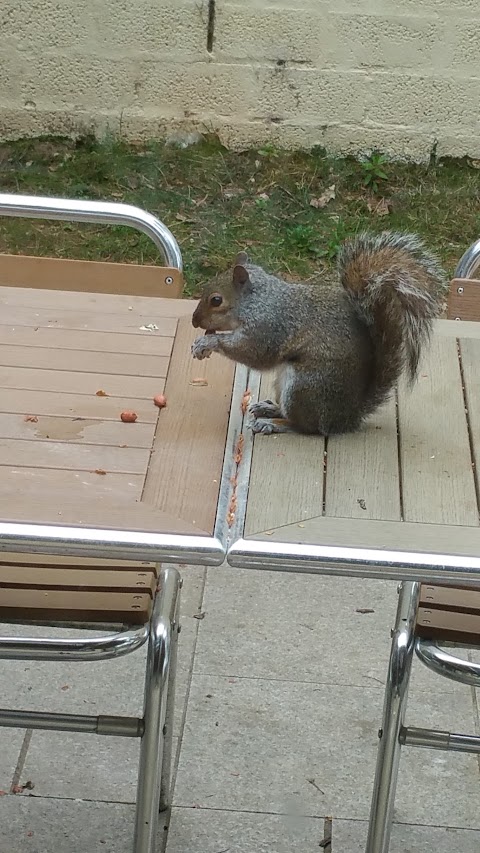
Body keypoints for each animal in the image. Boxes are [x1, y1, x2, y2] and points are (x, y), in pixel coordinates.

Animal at [190, 231, 446, 436]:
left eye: (216, 300)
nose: (194, 321)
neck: (258, 301)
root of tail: (346, 416)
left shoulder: (270, 327)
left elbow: (255, 354)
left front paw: (208, 342)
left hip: (303, 387)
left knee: (307, 427)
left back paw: (273, 424)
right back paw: (270, 408)